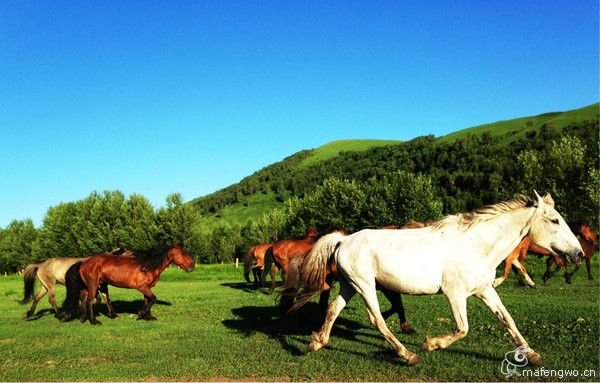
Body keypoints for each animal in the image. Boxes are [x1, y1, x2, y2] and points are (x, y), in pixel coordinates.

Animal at [61, 244, 193, 326]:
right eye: (183, 253)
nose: (192, 266)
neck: (148, 266)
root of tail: (84, 262)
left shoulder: (147, 288)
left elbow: (148, 300)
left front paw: (149, 317)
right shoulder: (142, 287)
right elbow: (153, 299)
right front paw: (141, 313)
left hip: (94, 285)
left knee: (86, 299)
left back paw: (85, 318)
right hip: (92, 285)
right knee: (89, 301)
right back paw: (94, 321)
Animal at [298, 194, 584, 368]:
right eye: (555, 220)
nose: (579, 253)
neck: (476, 245)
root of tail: (343, 240)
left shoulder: (485, 290)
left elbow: (508, 320)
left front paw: (532, 355)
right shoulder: (455, 294)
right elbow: (462, 328)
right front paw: (430, 344)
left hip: (350, 285)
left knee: (333, 310)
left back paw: (316, 342)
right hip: (365, 286)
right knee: (377, 320)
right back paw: (409, 355)